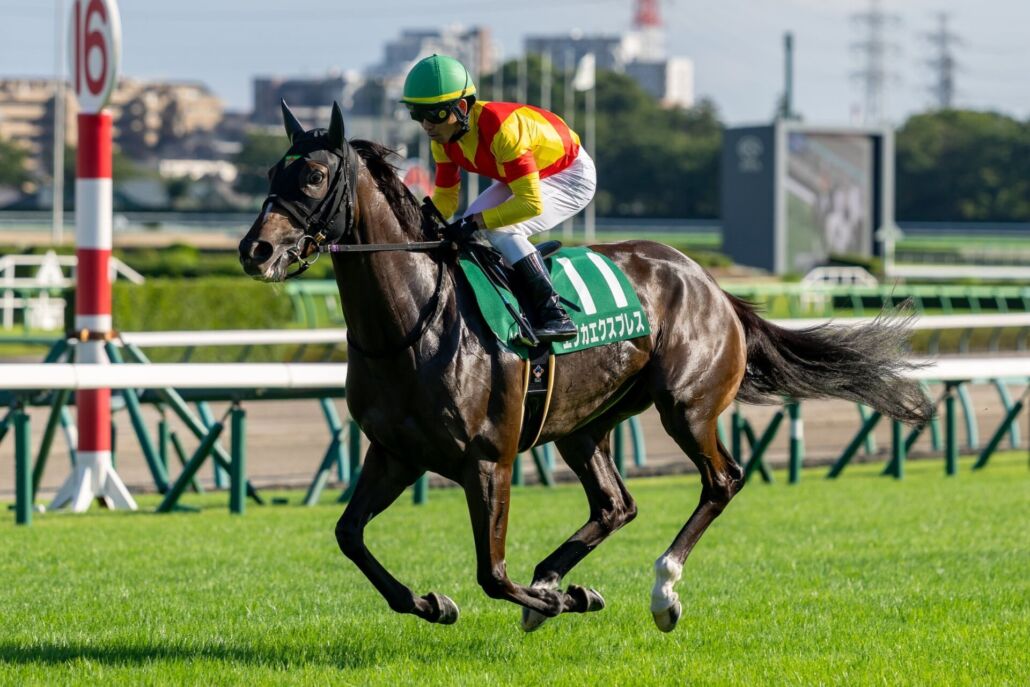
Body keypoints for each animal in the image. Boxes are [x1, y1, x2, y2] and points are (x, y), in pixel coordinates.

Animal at [238, 101, 933, 633]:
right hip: (582, 425)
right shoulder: (394, 453)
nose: (255, 251)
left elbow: (493, 574)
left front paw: (553, 598)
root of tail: (711, 283)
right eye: (272, 169)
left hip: (686, 406)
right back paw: (558, 579)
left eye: (314, 176)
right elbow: (348, 536)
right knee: (616, 505)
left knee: (722, 480)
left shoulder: (488, 460)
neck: (415, 324)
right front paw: (435, 603)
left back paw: (660, 591)